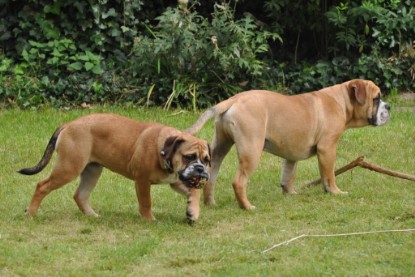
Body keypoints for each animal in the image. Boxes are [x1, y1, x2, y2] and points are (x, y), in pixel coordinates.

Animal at [19, 113, 211, 223]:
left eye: (206, 160)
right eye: (189, 157)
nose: (200, 169)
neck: (164, 149)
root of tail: (69, 124)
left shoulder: (175, 181)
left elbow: (195, 192)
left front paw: (192, 212)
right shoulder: (142, 180)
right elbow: (146, 202)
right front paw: (149, 220)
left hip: (92, 170)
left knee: (80, 194)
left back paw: (92, 215)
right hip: (69, 168)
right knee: (42, 186)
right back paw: (31, 213)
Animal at [187, 78, 392, 208]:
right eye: (376, 98)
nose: (389, 106)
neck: (341, 101)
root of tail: (234, 99)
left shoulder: (292, 154)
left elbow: (288, 175)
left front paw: (291, 193)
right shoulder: (327, 149)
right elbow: (329, 174)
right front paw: (335, 192)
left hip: (220, 147)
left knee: (212, 176)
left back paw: (211, 203)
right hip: (251, 150)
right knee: (239, 181)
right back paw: (247, 206)